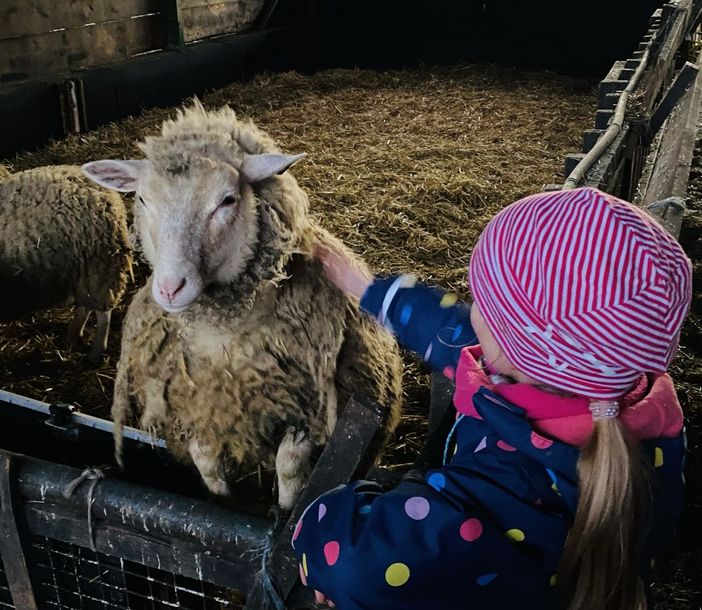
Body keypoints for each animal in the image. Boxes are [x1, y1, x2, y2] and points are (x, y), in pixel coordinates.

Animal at [0, 165, 132, 359]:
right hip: (85, 270)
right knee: (86, 305)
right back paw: (73, 335)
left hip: (100, 267)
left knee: (103, 314)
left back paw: (97, 351)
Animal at [82, 101, 403, 509]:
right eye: (141, 199)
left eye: (227, 201)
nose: (170, 288)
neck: (225, 333)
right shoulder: (201, 405)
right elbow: (205, 460)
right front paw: (221, 501)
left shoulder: (307, 411)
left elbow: (288, 467)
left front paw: (285, 510)